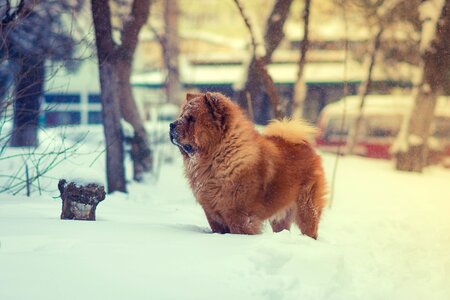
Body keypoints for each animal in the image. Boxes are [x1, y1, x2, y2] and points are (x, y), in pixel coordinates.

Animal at [169, 91, 326, 239]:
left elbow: (239, 231)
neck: (215, 159)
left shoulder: (238, 215)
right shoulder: (212, 214)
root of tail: (308, 148)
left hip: (306, 208)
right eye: (181, 115)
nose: (171, 124)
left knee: (310, 228)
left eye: (191, 118)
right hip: (281, 215)